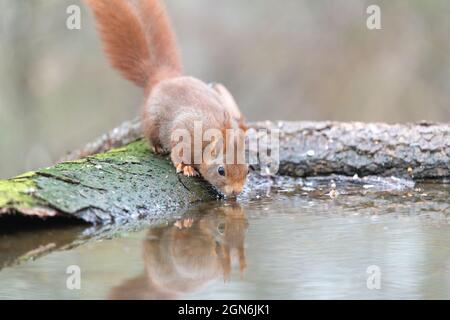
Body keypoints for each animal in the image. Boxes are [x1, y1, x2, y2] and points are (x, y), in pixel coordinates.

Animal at [87, 0, 250, 196]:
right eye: (221, 170)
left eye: (248, 170)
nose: (236, 192)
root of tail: (162, 77)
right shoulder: (185, 132)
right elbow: (178, 153)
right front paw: (186, 167)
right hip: (151, 121)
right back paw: (158, 147)